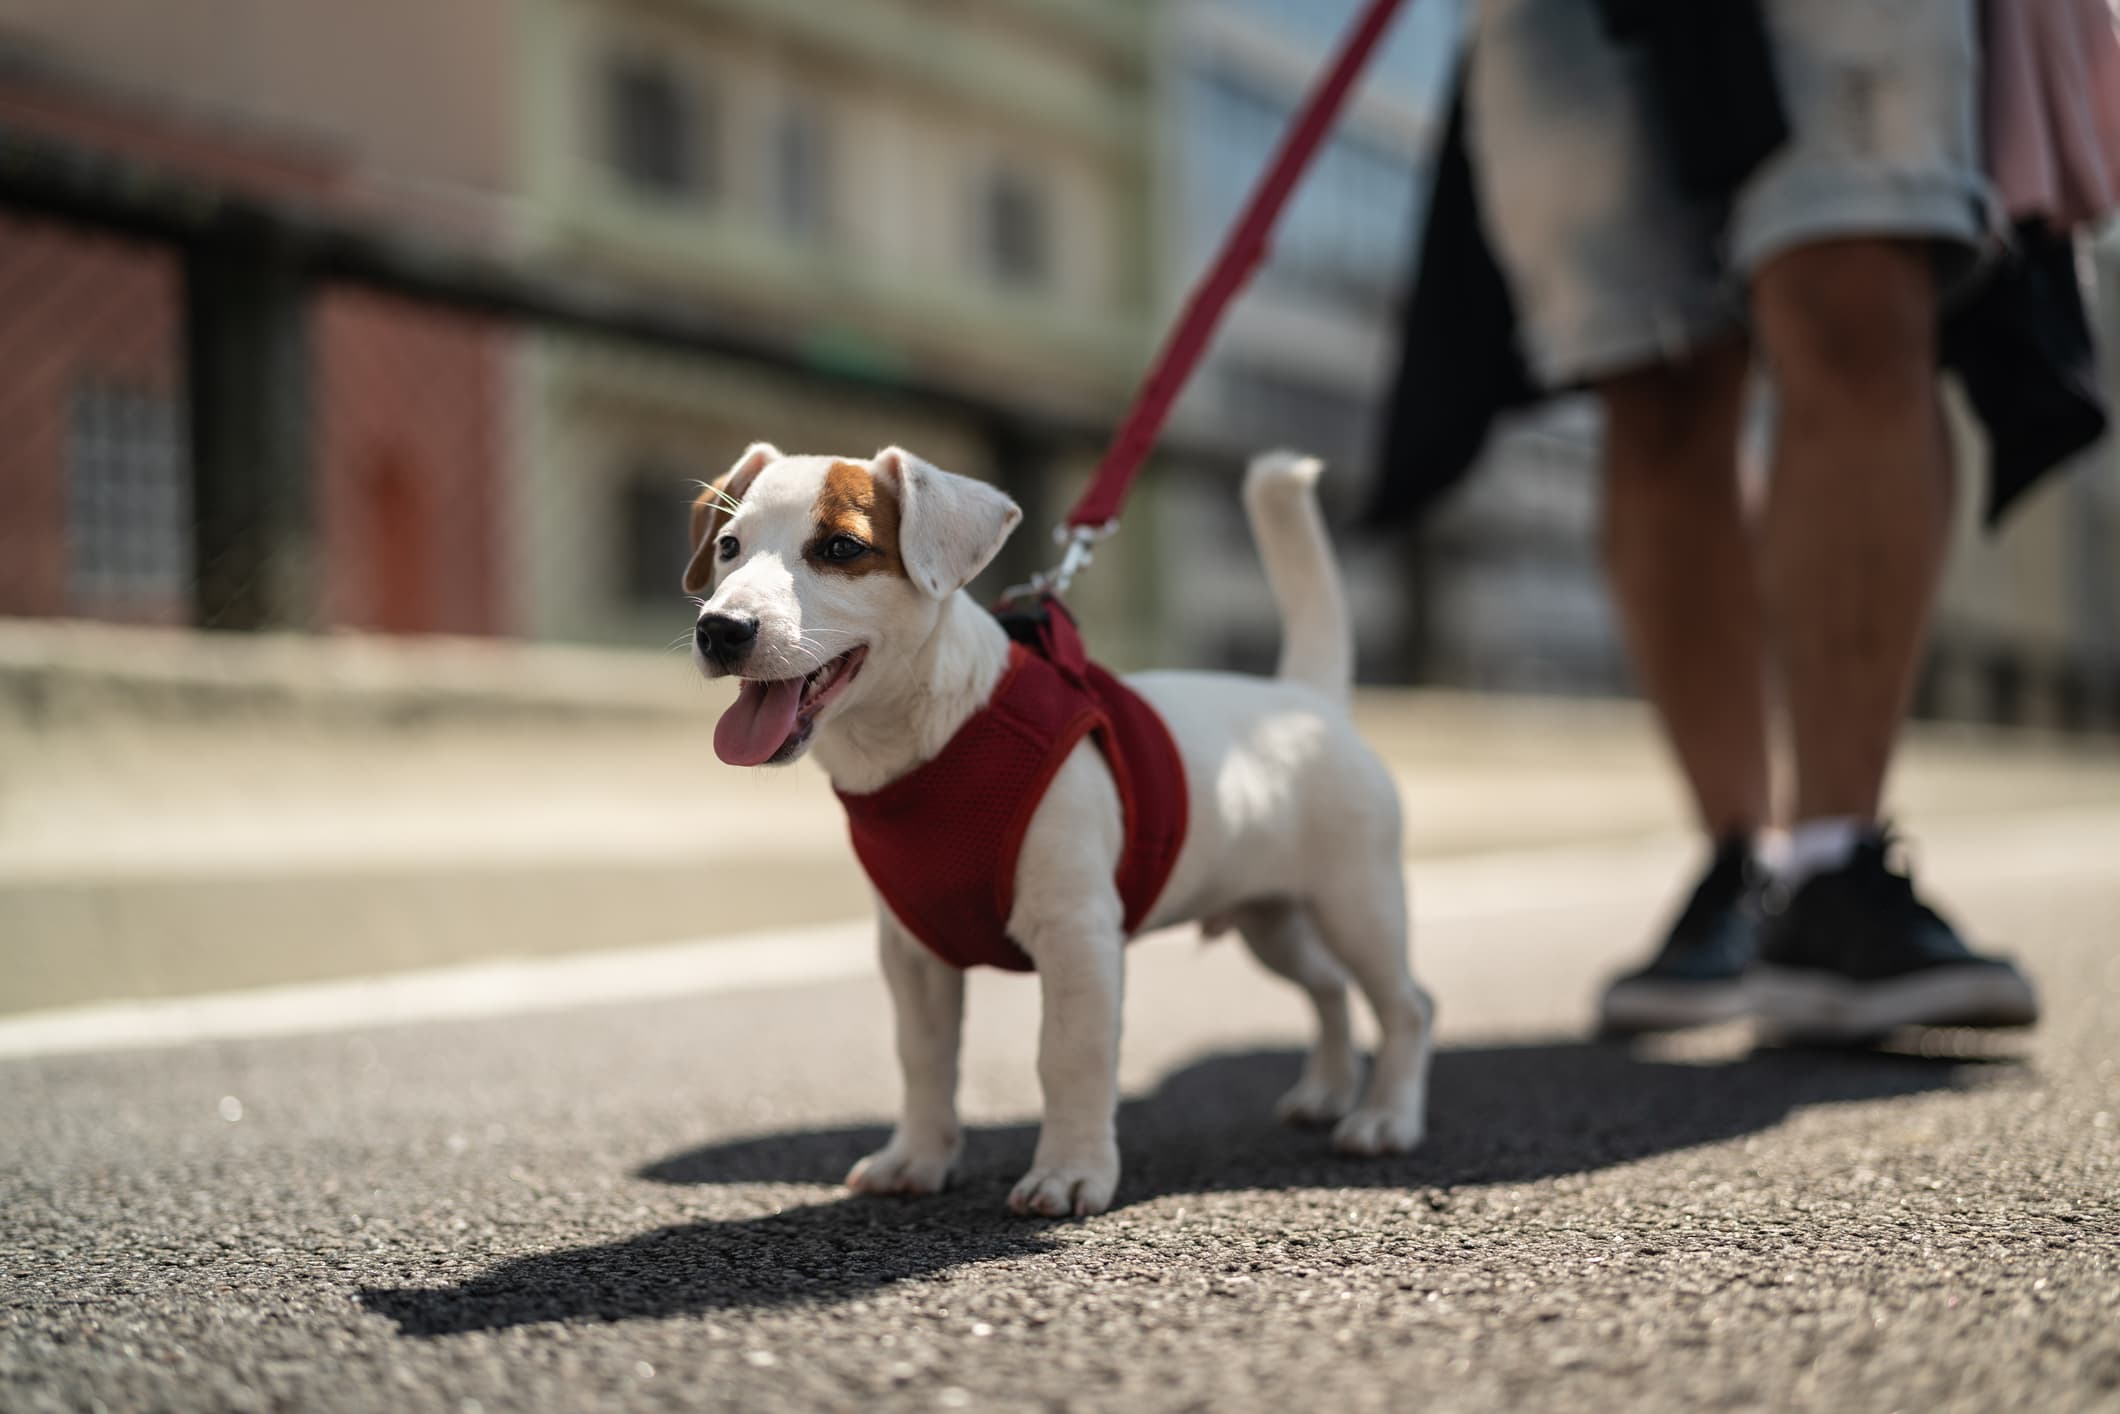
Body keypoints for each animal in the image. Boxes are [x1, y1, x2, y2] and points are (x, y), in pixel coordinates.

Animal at [686, 443, 1433, 1221]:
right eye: (728, 547)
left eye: (841, 548)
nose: (721, 629)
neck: (934, 742)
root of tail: (1307, 699)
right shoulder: (913, 953)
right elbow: (924, 1058)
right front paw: (917, 1157)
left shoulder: (1079, 938)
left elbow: (1069, 1057)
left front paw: (1071, 1171)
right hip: (1272, 921)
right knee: (1329, 989)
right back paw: (1326, 1091)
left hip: (1357, 905)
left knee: (1406, 1006)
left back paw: (1385, 1119)